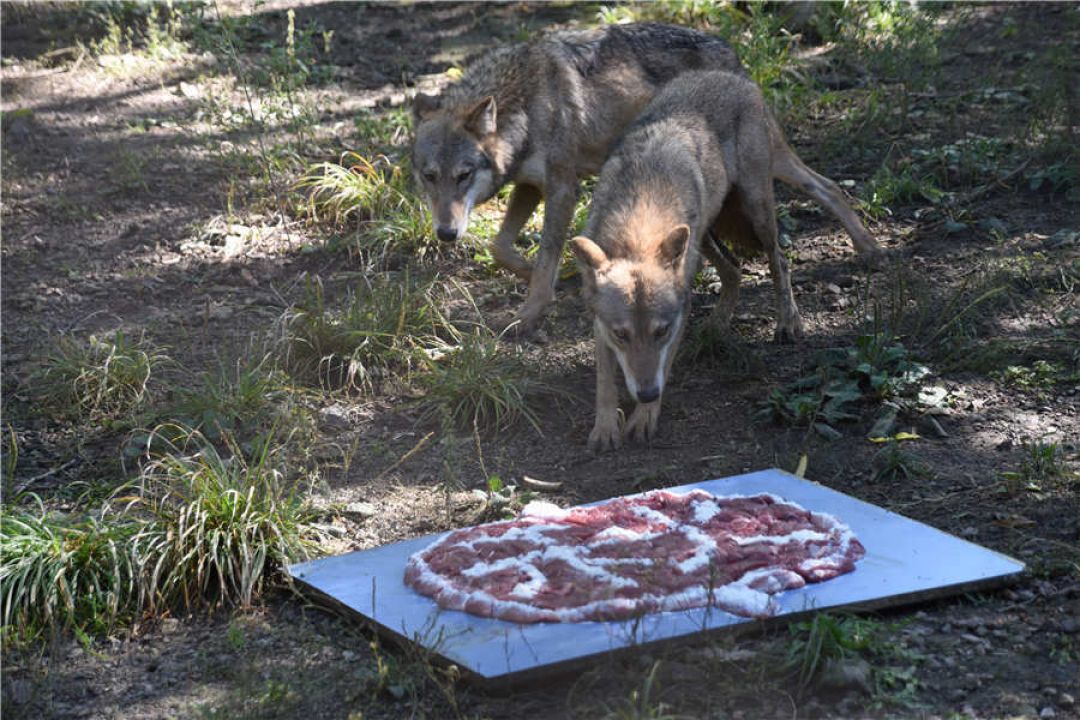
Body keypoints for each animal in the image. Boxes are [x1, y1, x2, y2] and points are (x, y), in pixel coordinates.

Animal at [408, 22, 881, 336]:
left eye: (464, 175)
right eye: (429, 177)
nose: (446, 234)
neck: (522, 102)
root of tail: (728, 48)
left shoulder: (563, 187)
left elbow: (544, 255)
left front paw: (532, 310)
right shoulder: (530, 187)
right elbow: (502, 247)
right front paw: (547, 278)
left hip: (761, 174)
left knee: (821, 192)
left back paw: (860, 257)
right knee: (822, 189)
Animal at [570, 67, 799, 451]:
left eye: (661, 331)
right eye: (622, 335)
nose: (647, 394)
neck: (636, 229)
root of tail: (735, 77)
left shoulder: (679, 314)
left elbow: (662, 366)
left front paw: (644, 418)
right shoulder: (601, 324)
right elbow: (605, 383)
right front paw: (605, 429)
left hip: (756, 212)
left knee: (779, 261)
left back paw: (789, 322)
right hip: (701, 237)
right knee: (734, 271)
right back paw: (717, 325)